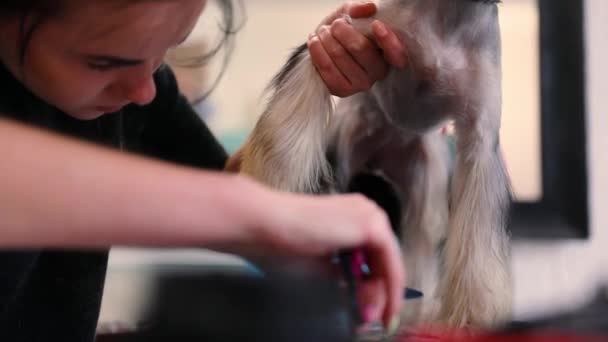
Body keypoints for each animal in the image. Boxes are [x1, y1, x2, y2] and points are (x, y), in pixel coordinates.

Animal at [235, 0, 510, 332]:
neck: (445, 15)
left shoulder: (480, 135)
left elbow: (475, 233)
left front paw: (470, 309)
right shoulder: (343, 34)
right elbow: (285, 130)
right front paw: (269, 193)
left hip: (423, 174)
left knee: (420, 237)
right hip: (343, 150)